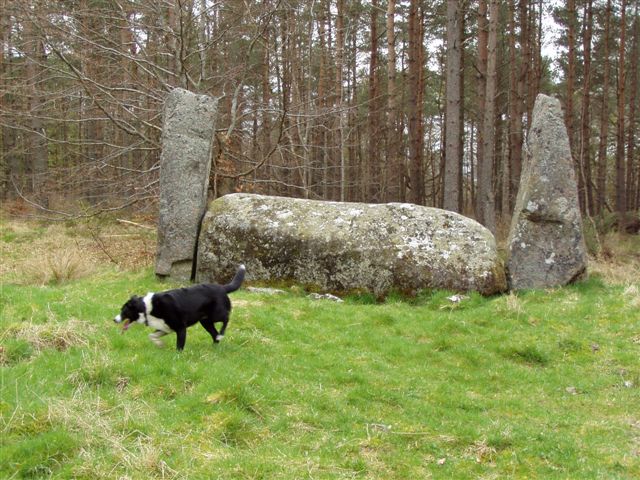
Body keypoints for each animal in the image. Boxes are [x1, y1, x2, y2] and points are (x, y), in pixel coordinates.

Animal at [115, 264, 245, 350]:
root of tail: (222, 288)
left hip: (215, 315)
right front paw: (159, 344)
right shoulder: (164, 327)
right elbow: (151, 335)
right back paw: (215, 345)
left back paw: (221, 334)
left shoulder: (181, 328)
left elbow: (179, 346)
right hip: (206, 322)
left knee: (226, 319)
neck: (147, 308)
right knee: (214, 334)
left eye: (124, 311)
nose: (114, 319)